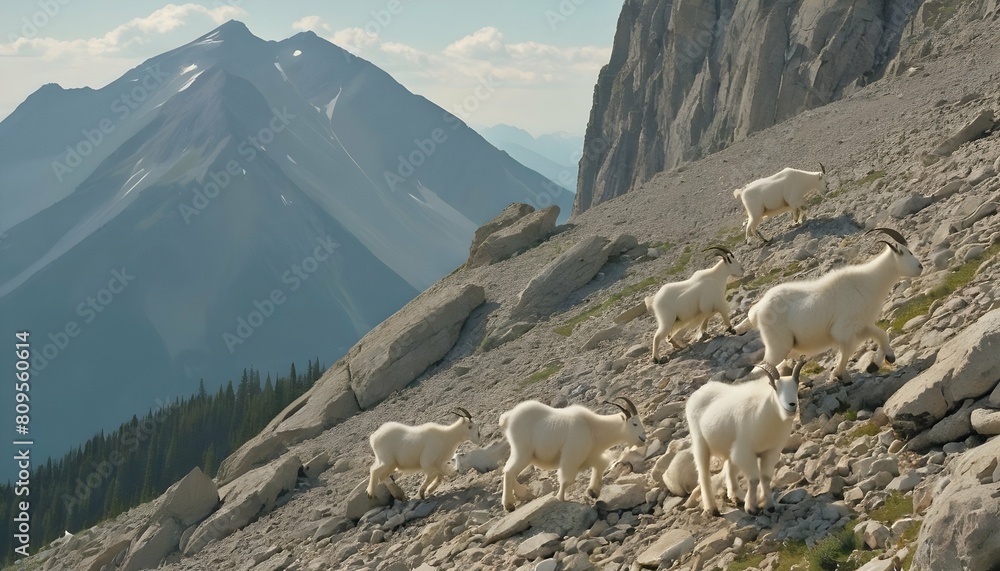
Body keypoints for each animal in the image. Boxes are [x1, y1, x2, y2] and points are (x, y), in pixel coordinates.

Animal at [500, 398, 648, 512]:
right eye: (634, 423)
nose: (643, 438)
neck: (592, 428)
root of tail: (508, 418)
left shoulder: (591, 454)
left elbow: (600, 465)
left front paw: (593, 491)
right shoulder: (571, 456)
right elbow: (567, 479)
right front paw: (560, 498)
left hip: (525, 454)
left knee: (509, 470)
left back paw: (523, 494)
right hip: (523, 451)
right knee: (509, 471)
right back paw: (509, 504)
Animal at [688, 364, 804, 516]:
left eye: (796, 387)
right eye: (776, 388)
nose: (792, 405)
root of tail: (697, 393)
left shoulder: (770, 452)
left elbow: (765, 478)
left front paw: (769, 505)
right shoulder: (745, 453)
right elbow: (754, 479)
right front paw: (751, 508)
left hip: (729, 450)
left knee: (729, 468)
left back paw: (736, 497)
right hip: (700, 444)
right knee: (703, 476)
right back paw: (712, 509)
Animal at [736, 227, 920, 380]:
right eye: (908, 252)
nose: (921, 266)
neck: (867, 283)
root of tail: (757, 311)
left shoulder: (862, 326)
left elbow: (881, 335)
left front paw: (881, 361)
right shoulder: (844, 331)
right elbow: (847, 351)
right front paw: (840, 375)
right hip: (778, 346)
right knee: (760, 370)